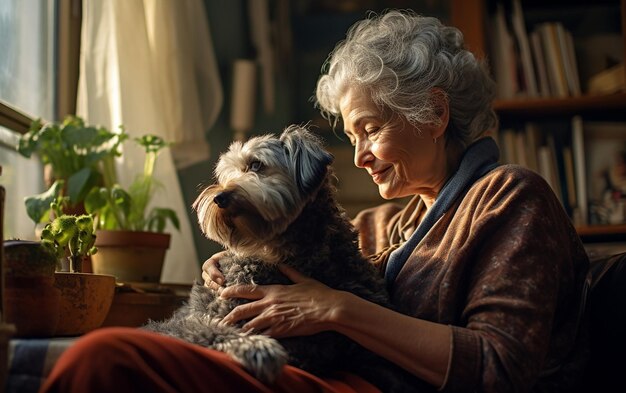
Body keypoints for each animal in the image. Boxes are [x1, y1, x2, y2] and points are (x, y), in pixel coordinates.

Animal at [144, 125, 422, 392]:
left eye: (256, 165)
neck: (286, 253)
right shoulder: (207, 317)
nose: (218, 197)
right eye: (224, 176)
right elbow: (213, 329)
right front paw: (258, 349)